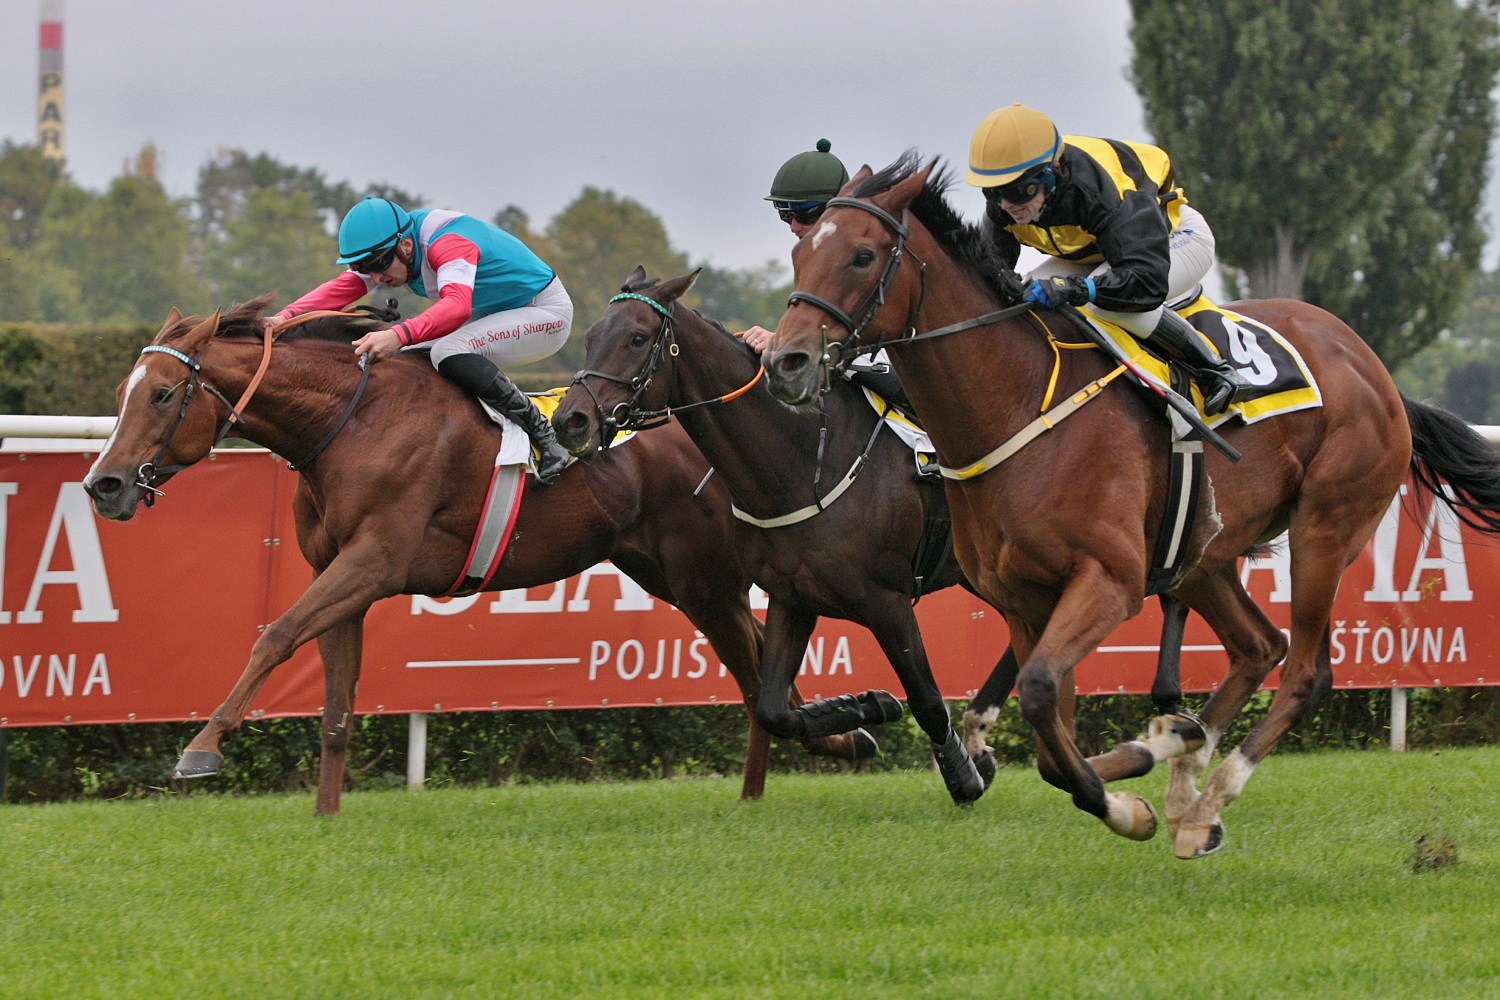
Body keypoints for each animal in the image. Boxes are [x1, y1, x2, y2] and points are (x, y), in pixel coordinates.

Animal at [81, 296, 869, 815]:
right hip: (673, 575)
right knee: (757, 658)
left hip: (701, 578)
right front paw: (326, 816)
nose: (103, 485)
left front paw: (202, 747)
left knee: (754, 665)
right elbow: (334, 703)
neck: (349, 421)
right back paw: (812, 754)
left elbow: (274, 635)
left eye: (161, 393)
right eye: (124, 391)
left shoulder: (374, 562)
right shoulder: (338, 573)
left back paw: (827, 746)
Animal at [552, 266, 1194, 805]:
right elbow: (773, 710)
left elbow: (928, 701)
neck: (799, 459)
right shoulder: (792, 596)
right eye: (590, 336)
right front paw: (867, 707)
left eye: (638, 339)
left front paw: (960, 774)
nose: (569, 420)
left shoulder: (885, 601)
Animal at [761, 153, 1500, 857]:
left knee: (1304, 674)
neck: (1014, 403)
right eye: (799, 254)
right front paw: (1136, 769)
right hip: (1204, 553)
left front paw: (1125, 805)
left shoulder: (1109, 581)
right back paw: (1179, 763)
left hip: (1326, 528)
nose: (786, 363)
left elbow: (1039, 696)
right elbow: (1050, 742)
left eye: (861, 255)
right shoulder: (1023, 600)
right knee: (1258, 645)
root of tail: (1377, 372)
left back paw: (1203, 805)